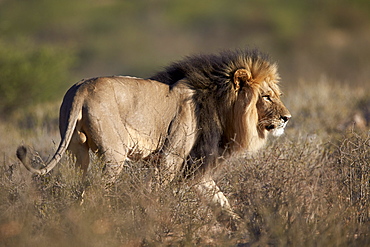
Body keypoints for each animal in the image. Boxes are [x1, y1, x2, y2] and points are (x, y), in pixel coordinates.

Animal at [16, 48, 290, 226]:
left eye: (276, 95)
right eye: (266, 97)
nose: (287, 117)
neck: (221, 105)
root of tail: (80, 89)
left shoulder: (195, 168)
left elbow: (221, 201)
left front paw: (241, 228)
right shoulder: (170, 159)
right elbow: (156, 195)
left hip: (77, 153)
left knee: (77, 188)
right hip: (115, 155)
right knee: (94, 191)